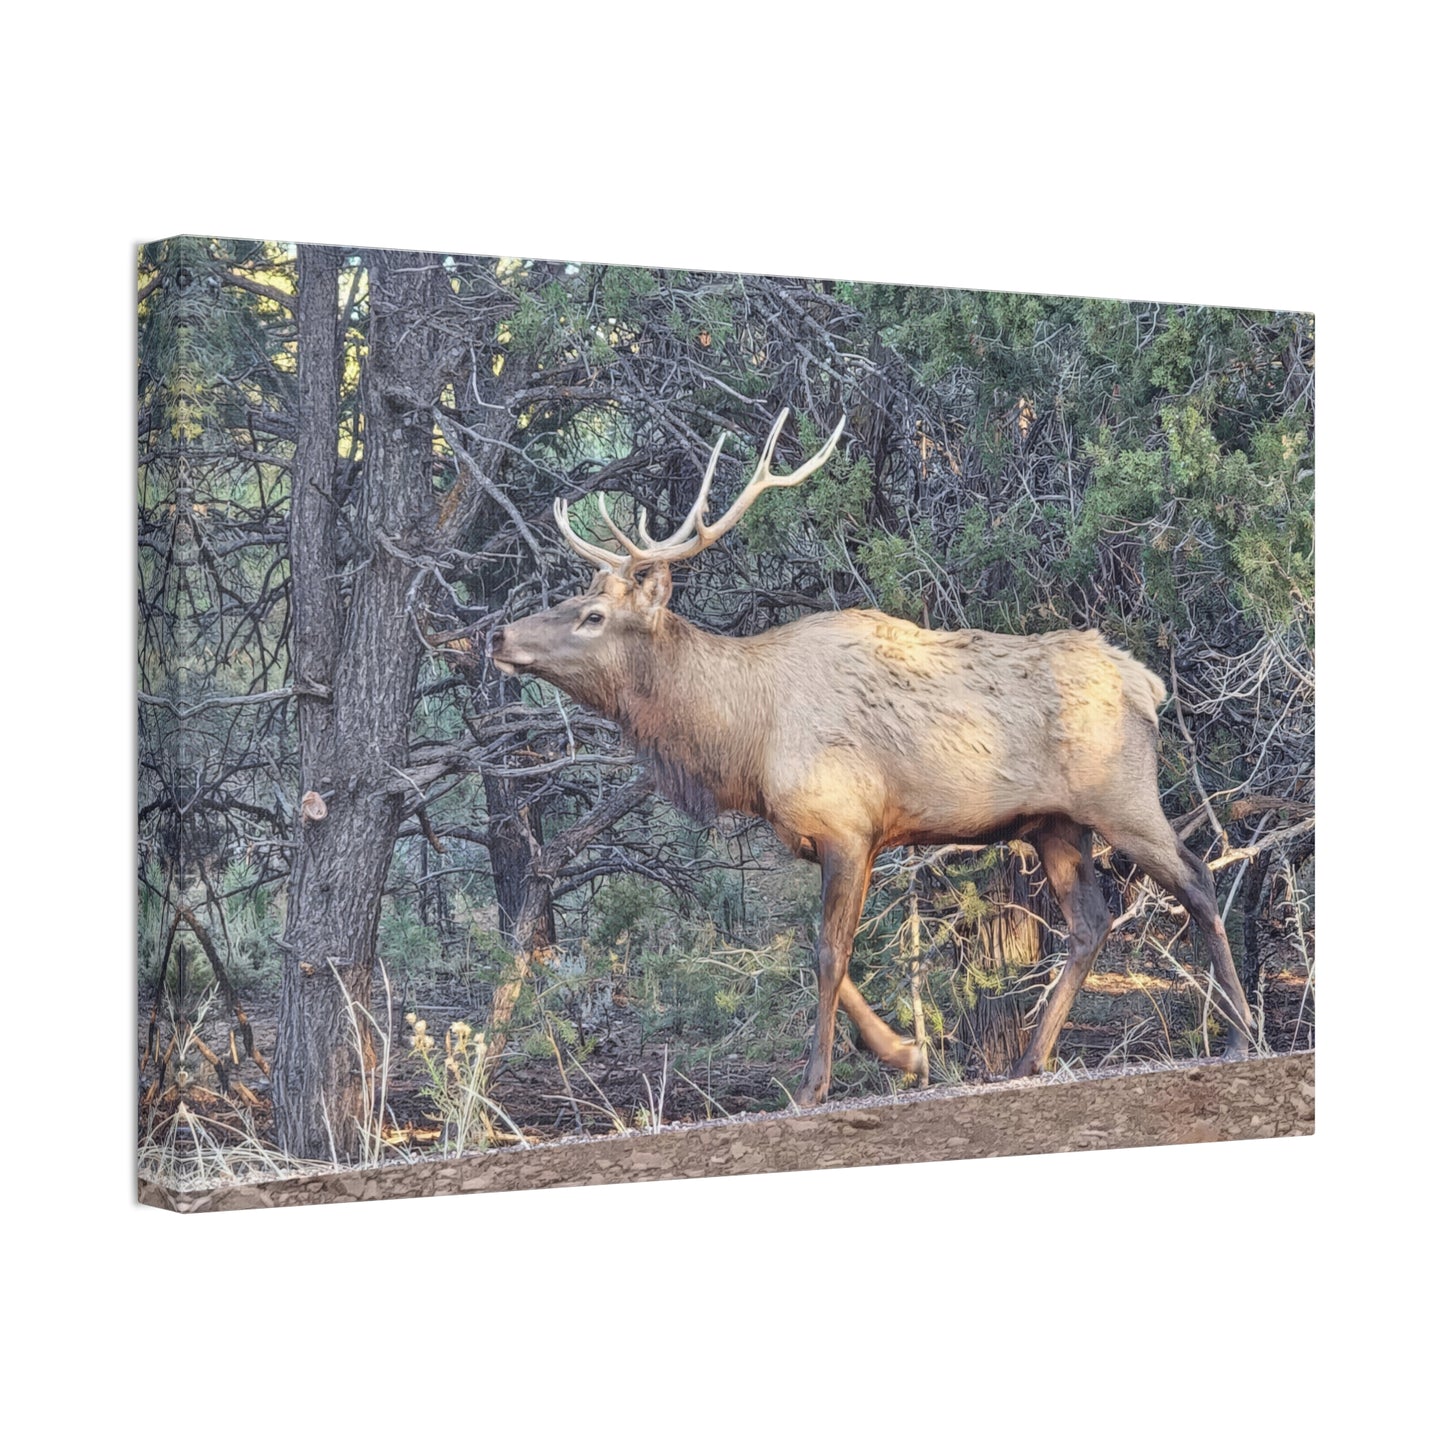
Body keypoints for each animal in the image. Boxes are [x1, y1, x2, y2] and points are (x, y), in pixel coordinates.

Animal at [489, 409, 1255, 1106]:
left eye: (592, 616)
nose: (498, 635)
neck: (745, 742)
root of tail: (1146, 682)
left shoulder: (846, 824)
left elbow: (828, 953)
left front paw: (814, 1084)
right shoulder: (831, 836)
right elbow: (830, 954)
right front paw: (909, 1053)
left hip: (1119, 796)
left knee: (1195, 878)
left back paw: (1240, 1035)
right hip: (1053, 822)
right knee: (1090, 922)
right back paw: (1027, 1058)